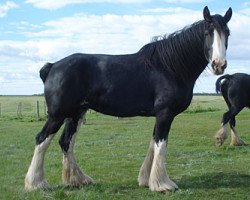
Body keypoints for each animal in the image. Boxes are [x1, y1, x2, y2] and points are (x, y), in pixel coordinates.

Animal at [25, 6, 232, 192]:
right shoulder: (165, 114)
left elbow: (153, 144)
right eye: (207, 32)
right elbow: (161, 145)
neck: (169, 67)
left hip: (75, 114)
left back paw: (78, 180)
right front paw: (162, 184)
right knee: (41, 140)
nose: (219, 65)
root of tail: (52, 66)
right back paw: (36, 184)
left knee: (66, 142)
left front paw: (147, 180)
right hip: (57, 115)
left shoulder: (160, 115)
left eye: (228, 33)